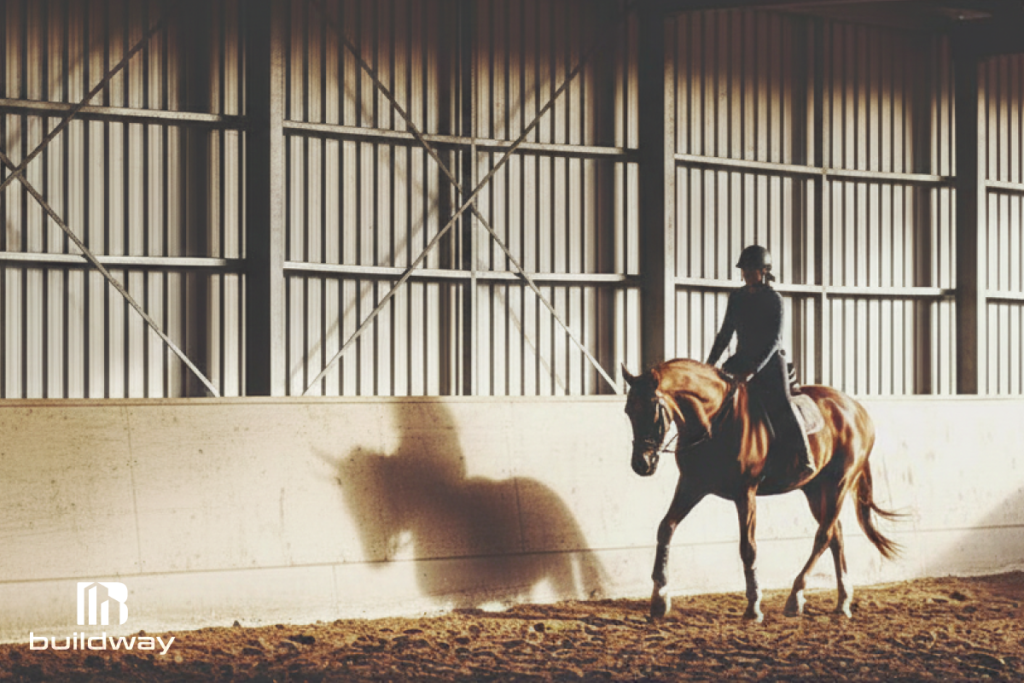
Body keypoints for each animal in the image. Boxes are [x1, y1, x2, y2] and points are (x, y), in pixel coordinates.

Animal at [622, 358, 899, 622]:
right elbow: (665, 528)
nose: (641, 464)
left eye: (652, 409)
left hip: (838, 484)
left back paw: (795, 596)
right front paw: (659, 599)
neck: (715, 421)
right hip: (814, 489)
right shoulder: (692, 485)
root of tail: (857, 409)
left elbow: (748, 547)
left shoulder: (745, 492)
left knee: (823, 536)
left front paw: (753, 606)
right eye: (628, 411)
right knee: (835, 535)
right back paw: (842, 602)